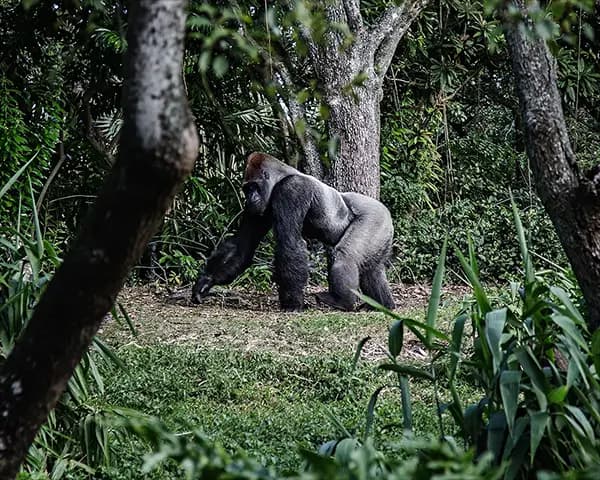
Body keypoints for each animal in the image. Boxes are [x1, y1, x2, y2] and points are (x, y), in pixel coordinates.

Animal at [192, 152, 396, 314]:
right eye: (246, 189)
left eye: (253, 187)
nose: (249, 198)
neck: (281, 176)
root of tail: (386, 212)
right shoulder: (257, 209)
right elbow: (242, 245)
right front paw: (206, 281)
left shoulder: (291, 190)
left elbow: (289, 242)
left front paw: (292, 303)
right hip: (382, 231)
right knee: (372, 269)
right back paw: (383, 304)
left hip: (375, 218)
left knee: (346, 255)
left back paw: (342, 301)